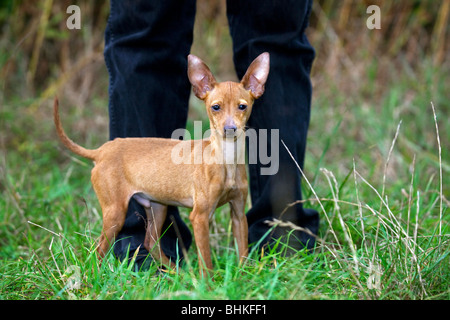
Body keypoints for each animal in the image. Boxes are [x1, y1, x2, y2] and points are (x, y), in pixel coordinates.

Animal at [54, 53, 268, 278]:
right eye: (215, 107)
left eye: (242, 106)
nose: (230, 129)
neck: (226, 159)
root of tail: (101, 151)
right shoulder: (199, 217)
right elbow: (206, 261)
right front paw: (208, 283)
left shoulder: (238, 213)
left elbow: (243, 251)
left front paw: (245, 277)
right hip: (115, 213)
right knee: (98, 250)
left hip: (157, 207)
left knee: (150, 243)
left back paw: (178, 274)